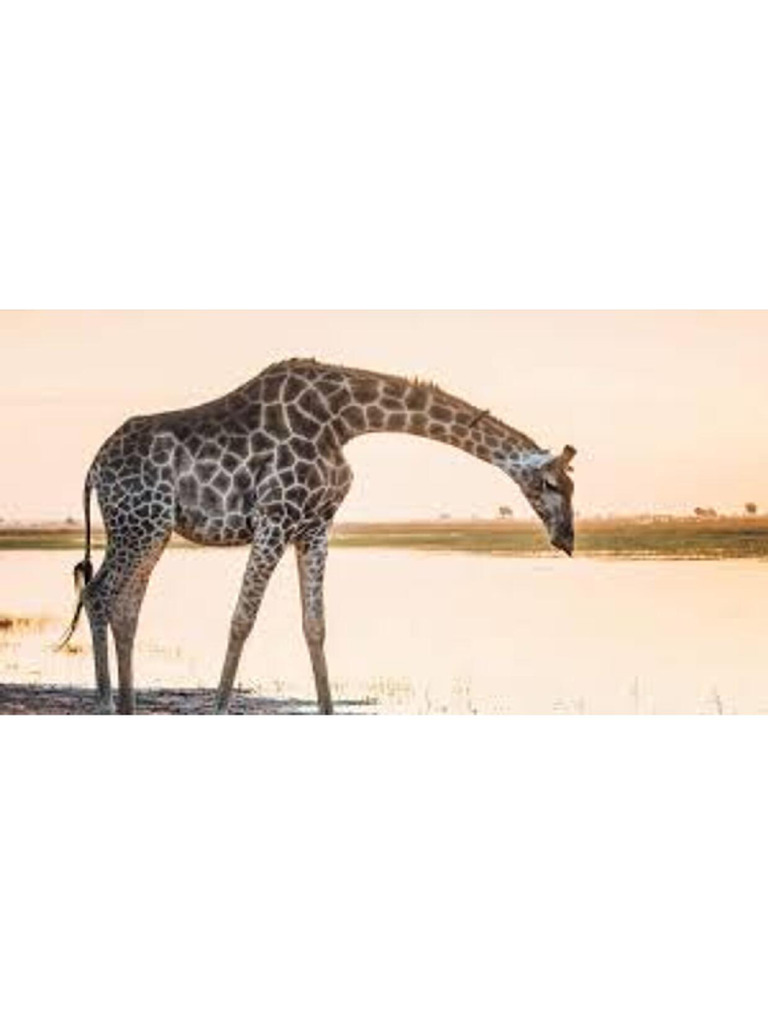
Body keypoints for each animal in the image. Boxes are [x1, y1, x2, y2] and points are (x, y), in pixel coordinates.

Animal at [58, 358, 577, 714]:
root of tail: (94, 467)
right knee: (99, 593)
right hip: (138, 523)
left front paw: (327, 709)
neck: (346, 420)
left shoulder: (315, 526)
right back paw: (106, 704)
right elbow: (241, 619)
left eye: (572, 486)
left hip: (152, 528)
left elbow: (315, 624)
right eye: (551, 484)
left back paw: (127, 706)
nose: (567, 539)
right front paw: (220, 708)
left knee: (126, 605)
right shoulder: (274, 517)